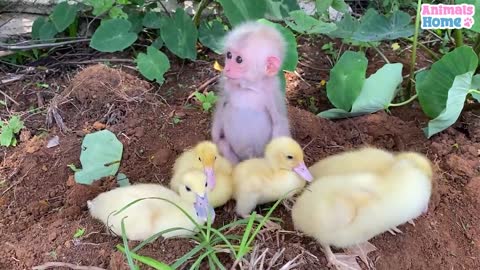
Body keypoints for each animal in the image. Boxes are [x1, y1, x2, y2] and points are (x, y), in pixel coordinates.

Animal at [211, 21, 292, 165]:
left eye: (239, 60)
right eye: (229, 55)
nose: (227, 69)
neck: (249, 88)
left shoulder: (272, 95)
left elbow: (279, 122)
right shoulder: (227, 85)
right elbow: (222, 105)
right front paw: (214, 136)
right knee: (223, 145)